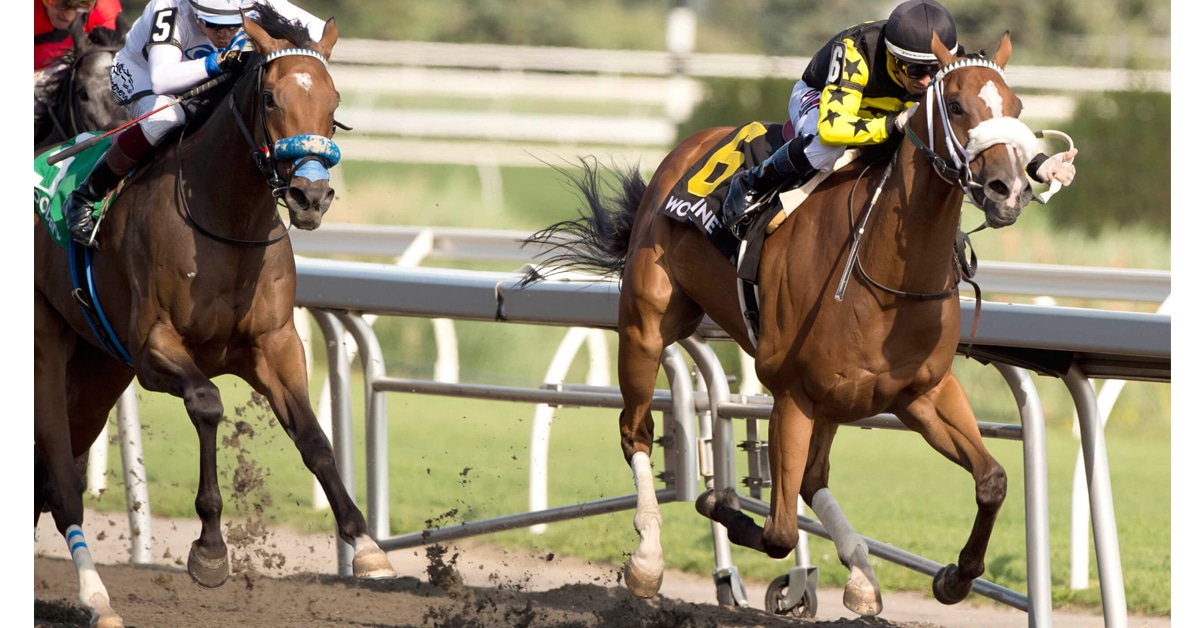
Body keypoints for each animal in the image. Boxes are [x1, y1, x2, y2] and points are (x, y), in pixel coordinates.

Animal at [523, 33, 1038, 618]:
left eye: (1017, 107)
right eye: (954, 105)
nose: (1007, 188)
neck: (883, 270)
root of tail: (688, 146)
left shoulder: (922, 391)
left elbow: (992, 480)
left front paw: (955, 576)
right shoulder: (792, 394)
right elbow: (778, 531)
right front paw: (716, 499)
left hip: (837, 398)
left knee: (813, 478)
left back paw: (861, 576)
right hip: (645, 325)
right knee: (636, 431)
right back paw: (647, 561)